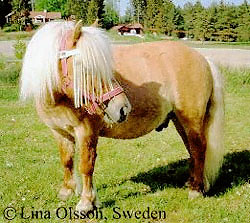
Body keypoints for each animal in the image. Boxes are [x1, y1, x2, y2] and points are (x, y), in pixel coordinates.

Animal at [20, 20, 225, 213]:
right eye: (85, 67)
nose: (123, 108)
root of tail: (203, 59)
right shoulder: (59, 132)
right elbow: (67, 161)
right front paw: (67, 192)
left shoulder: (86, 132)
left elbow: (86, 165)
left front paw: (86, 203)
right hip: (179, 121)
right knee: (193, 150)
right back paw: (195, 183)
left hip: (192, 120)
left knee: (199, 149)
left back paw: (196, 190)